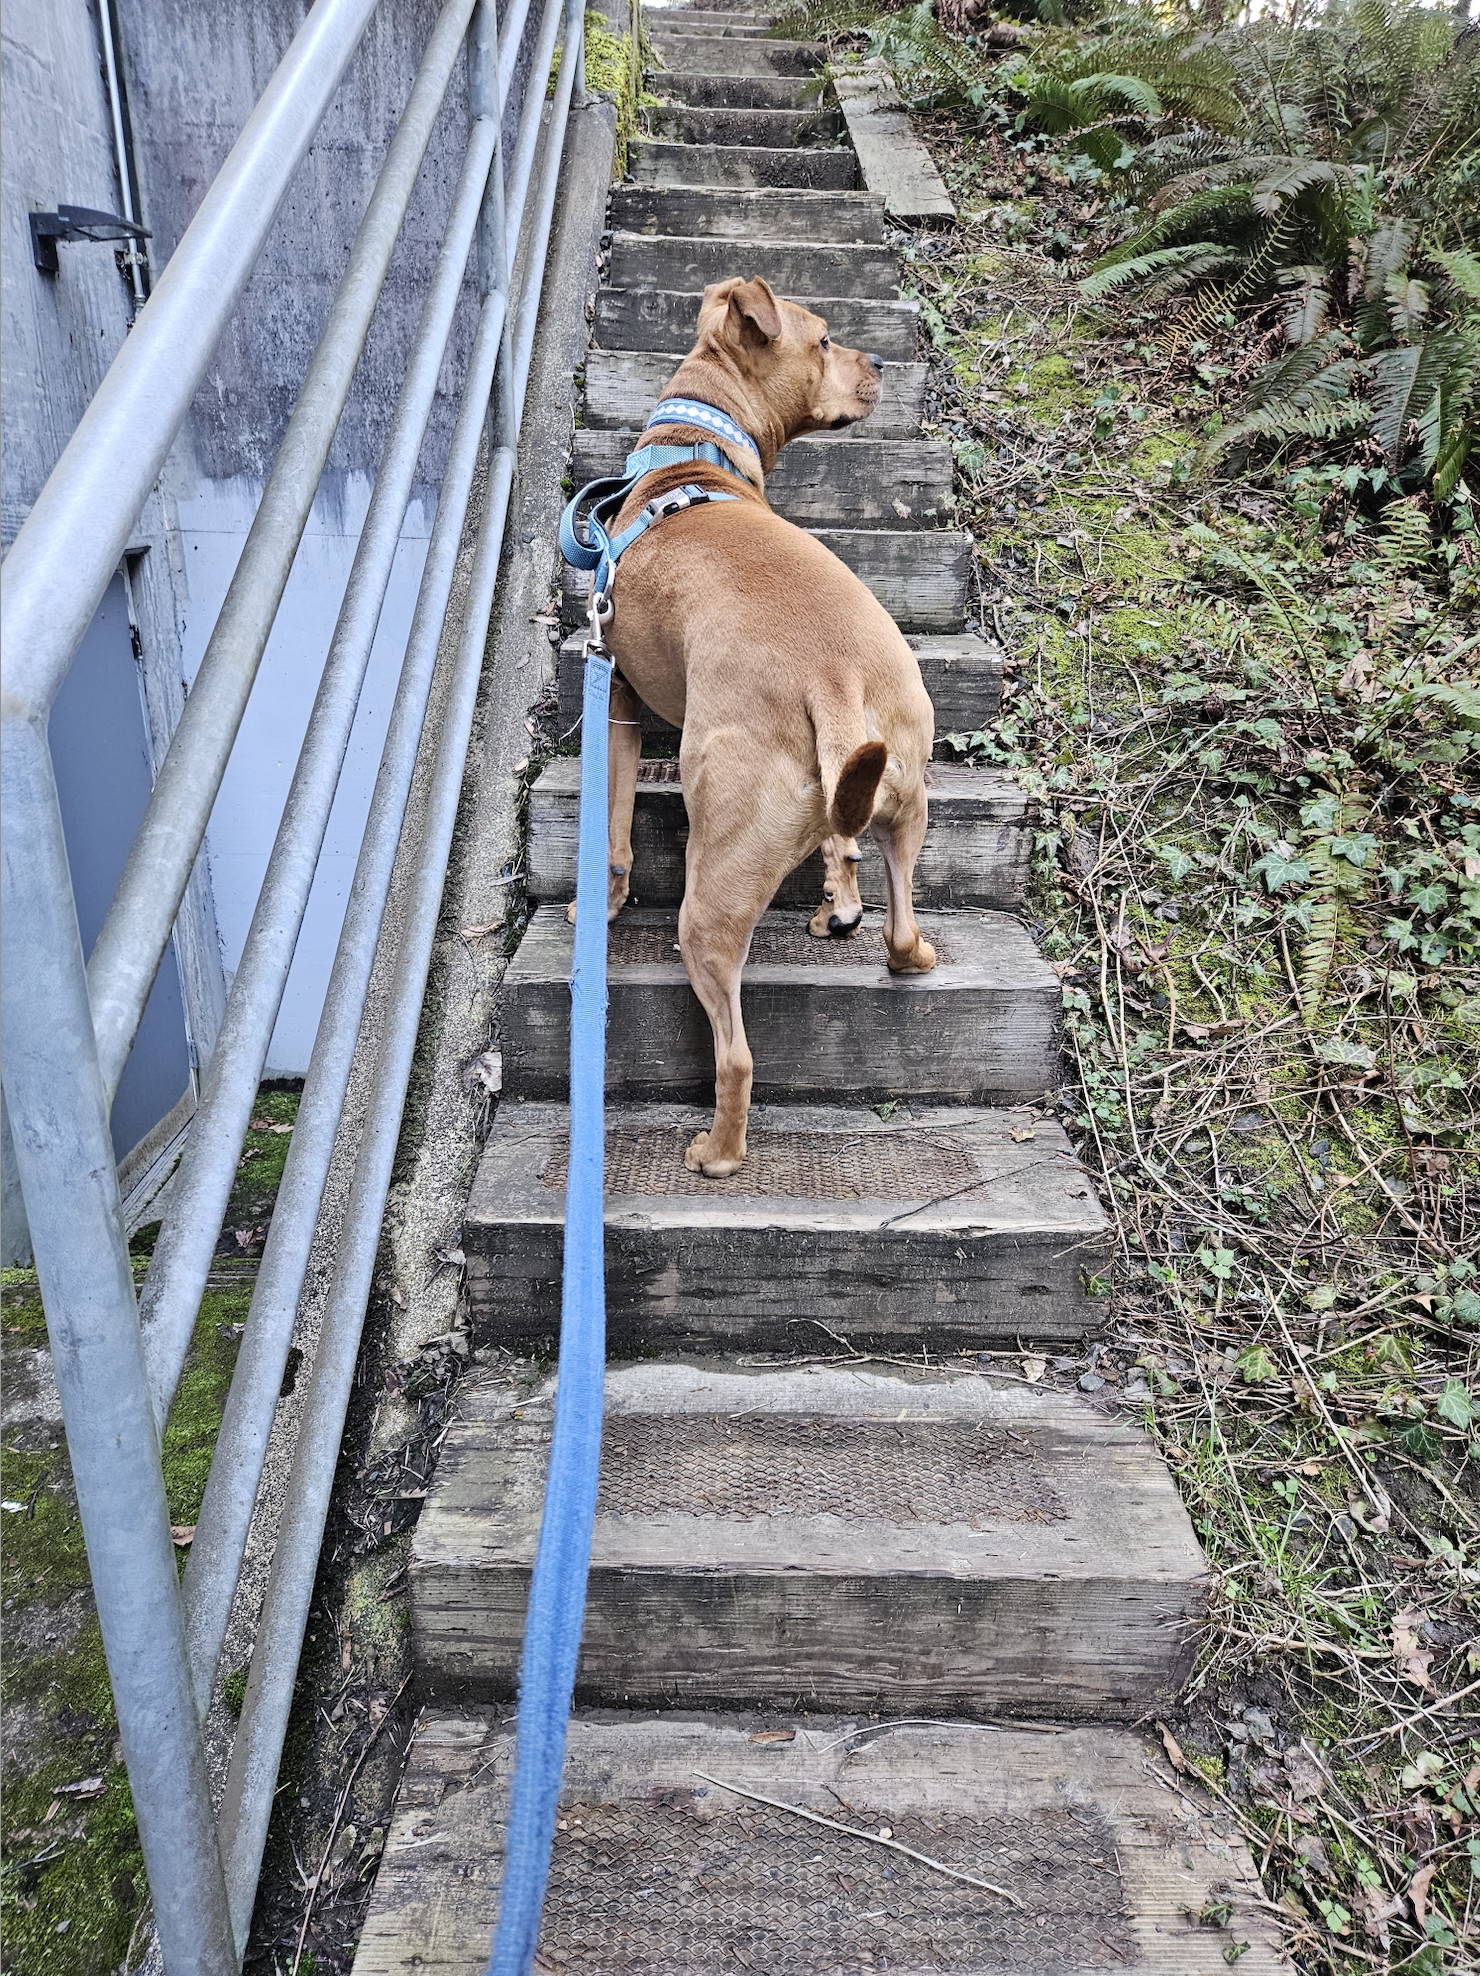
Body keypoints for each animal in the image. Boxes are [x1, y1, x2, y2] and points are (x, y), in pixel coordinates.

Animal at [573, 276, 928, 1169]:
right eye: (828, 339)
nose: (880, 363)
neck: (692, 453)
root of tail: (829, 674)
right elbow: (842, 851)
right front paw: (838, 897)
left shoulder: (618, 695)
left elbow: (616, 830)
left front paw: (599, 904)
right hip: (906, 791)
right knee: (901, 921)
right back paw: (901, 944)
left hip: (712, 891)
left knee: (734, 1052)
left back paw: (718, 1152)